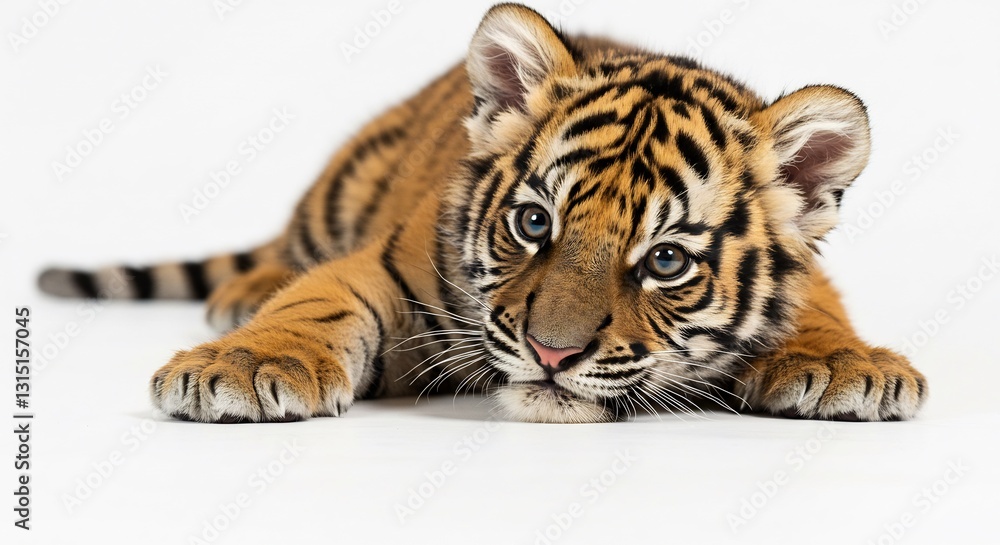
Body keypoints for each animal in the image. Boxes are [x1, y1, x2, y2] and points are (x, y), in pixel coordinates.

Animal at [38, 3, 927, 424]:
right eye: (534, 224)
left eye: (666, 260)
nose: (552, 353)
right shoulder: (385, 262)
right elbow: (316, 300)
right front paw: (244, 365)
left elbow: (819, 311)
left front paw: (850, 365)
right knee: (288, 253)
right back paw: (245, 292)